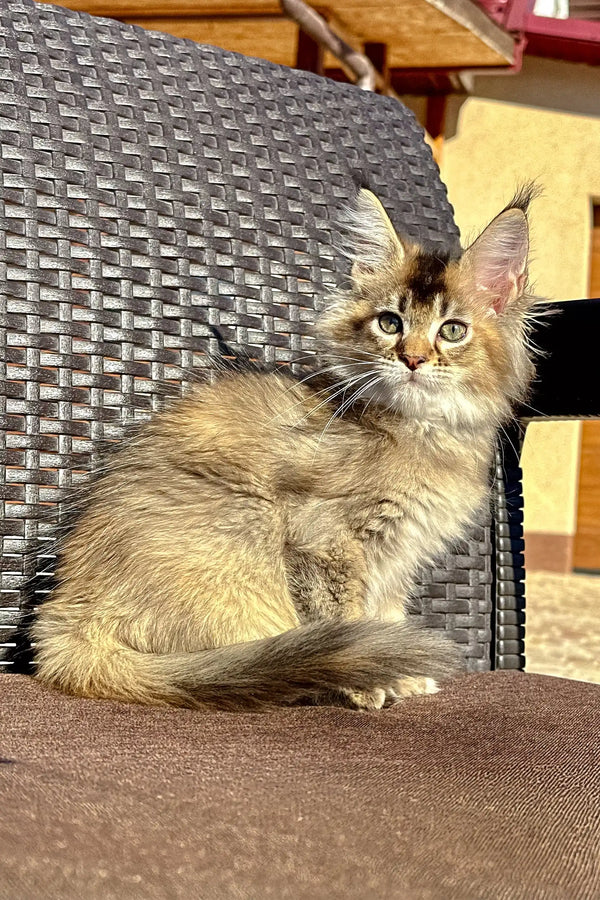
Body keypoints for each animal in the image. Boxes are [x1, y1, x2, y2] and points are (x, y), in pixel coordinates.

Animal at [32, 188, 536, 712]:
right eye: (389, 323)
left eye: (453, 330)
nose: (413, 359)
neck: (423, 431)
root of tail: (66, 620)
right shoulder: (323, 538)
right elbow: (345, 618)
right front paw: (372, 683)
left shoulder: (398, 556)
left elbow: (384, 618)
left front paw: (401, 673)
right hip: (251, 523)